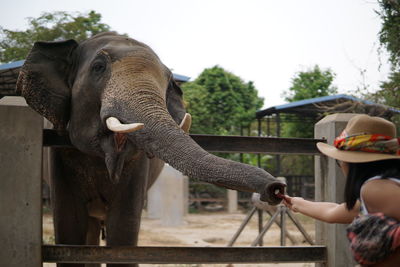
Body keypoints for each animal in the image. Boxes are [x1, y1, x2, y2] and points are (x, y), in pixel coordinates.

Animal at [15, 30, 284, 266]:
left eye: (169, 80)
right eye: (98, 67)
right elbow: (70, 229)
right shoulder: (58, 152)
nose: (276, 188)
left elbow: (123, 230)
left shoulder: (137, 165)